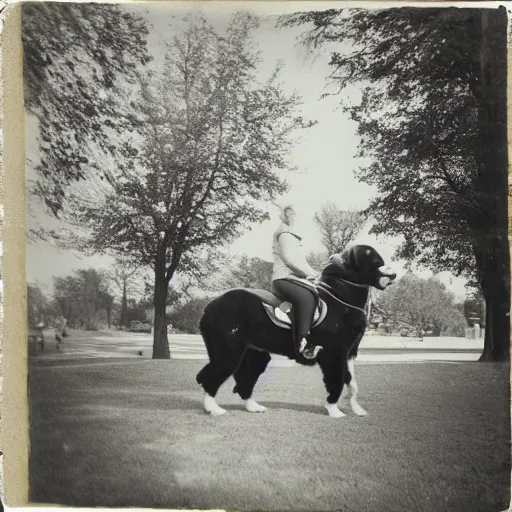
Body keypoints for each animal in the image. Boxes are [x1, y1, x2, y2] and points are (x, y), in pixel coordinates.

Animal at [196, 246, 396, 418]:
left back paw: (253, 407)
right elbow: (336, 381)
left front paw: (357, 410)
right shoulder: (334, 354)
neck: (342, 299)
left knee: (243, 381)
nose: (394, 274)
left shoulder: (349, 353)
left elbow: (352, 384)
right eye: (373, 259)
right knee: (210, 377)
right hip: (227, 353)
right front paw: (334, 411)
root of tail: (210, 305)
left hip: (254, 354)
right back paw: (214, 409)